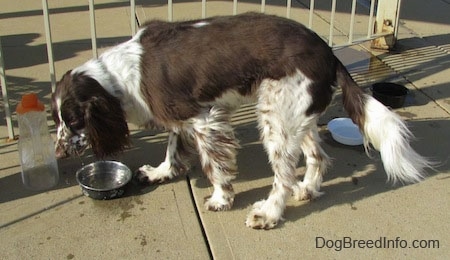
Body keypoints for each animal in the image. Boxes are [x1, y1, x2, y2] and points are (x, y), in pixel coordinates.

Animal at [51, 13, 430, 230]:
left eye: (73, 120)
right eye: (57, 119)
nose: (58, 153)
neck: (118, 75)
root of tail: (329, 52)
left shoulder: (204, 119)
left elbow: (215, 166)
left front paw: (221, 199)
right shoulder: (181, 115)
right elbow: (172, 148)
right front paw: (162, 172)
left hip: (276, 118)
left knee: (283, 177)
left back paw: (270, 214)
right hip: (296, 115)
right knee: (317, 157)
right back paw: (308, 189)